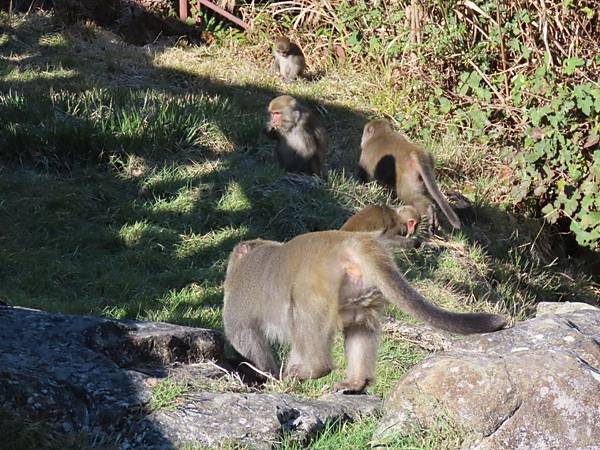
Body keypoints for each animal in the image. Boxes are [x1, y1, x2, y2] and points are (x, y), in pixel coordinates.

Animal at [224, 232, 506, 394]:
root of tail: (350, 242)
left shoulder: (237, 297)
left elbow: (243, 334)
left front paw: (267, 375)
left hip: (315, 287)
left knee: (302, 316)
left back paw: (312, 369)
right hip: (362, 291)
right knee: (360, 325)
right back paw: (355, 383)